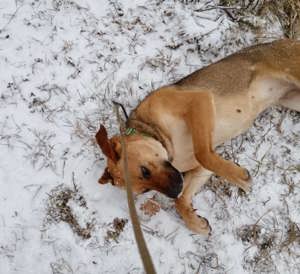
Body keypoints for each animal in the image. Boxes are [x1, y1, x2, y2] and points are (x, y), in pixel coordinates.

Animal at [95, 39, 300, 235]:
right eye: (145, 189)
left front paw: (240, 177)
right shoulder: (199, 168)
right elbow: (183, 199)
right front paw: (195, 222)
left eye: (144, 171)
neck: (155, 132)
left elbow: (203, 153)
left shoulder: (198, 101)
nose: (175, 191)